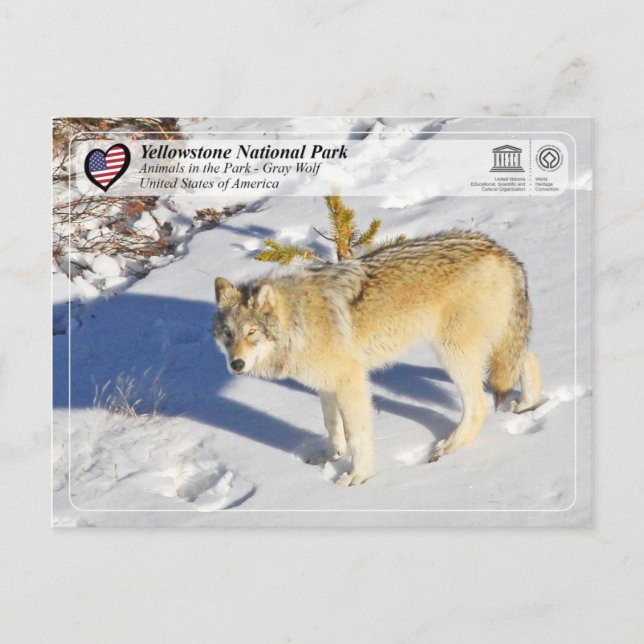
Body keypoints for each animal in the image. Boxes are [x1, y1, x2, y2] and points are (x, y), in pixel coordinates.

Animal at [212, 231, 542, 485]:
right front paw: (331, 457)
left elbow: (357, 435)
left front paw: (358, 477)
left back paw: (448, 447)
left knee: (479, 405)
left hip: (453, 352)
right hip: (492, 344)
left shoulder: (350, 381)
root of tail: (503, 252)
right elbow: (332, 425)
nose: (236, 364)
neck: (299, 320)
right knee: (529, 357)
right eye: (228, 333)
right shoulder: (325, 385)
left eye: (252, 332)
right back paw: (528, 405)